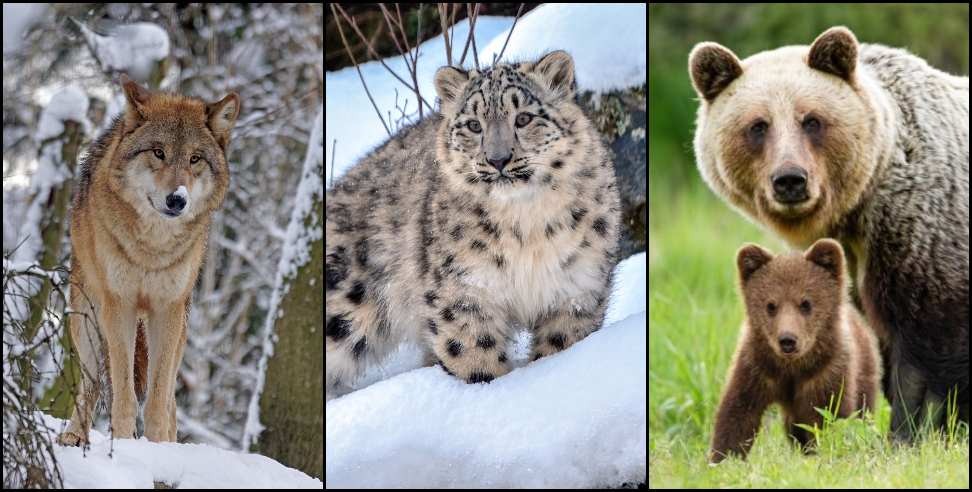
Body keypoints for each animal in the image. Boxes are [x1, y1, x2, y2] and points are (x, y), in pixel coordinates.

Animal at [58, 77, 240, 446]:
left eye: (195, 159)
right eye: (158, 153)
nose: (177, 200)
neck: (152, 249)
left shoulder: (166, 310)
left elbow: (157, 398)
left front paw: (158, 448)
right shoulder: (120, 305)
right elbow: (125, 392)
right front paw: (125, 442)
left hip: (181, 330)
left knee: (170, 399)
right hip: (86, 322)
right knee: (91, 383)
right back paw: (74, 437)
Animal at [708, 240, 880, 464]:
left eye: (806, 303)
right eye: (771, 305)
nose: (787, 340)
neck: (792, 368)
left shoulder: (826, 374)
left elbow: (829, 417)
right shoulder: (756, 367)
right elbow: (737, 413)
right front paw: (724, 458)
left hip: (864, 371)